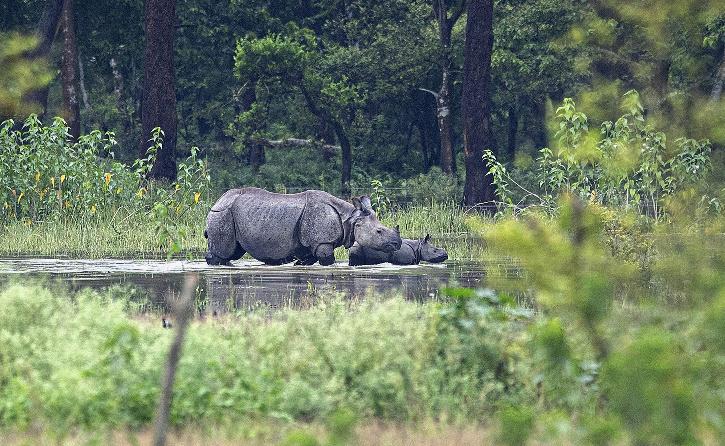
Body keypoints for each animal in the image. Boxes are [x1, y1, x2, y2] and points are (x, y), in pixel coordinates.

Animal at [204, 187, 402, 266]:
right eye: (379, 231)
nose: (398, 244)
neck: (351, 219)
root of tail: (217, 201)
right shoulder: (322, 242)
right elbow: (327, 260)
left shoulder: (311, 244)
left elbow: (306, 260)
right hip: (222, 213)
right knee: (224, 252)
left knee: (233, 252)